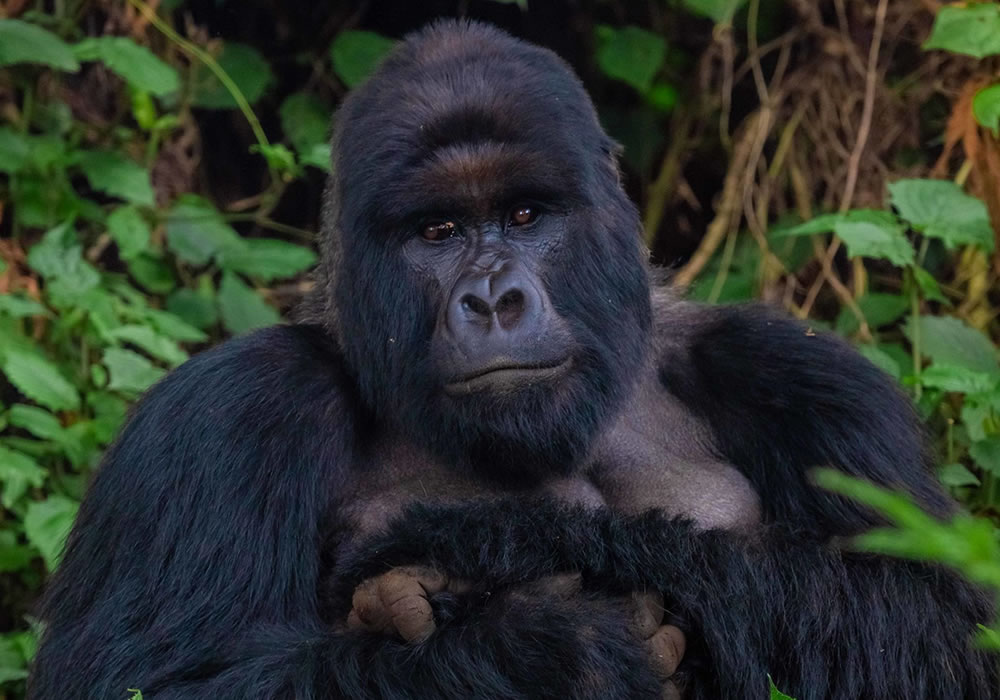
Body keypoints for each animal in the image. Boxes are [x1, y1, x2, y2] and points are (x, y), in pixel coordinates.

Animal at [27, 17, 996, 700]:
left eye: (526, 215)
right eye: (438, 231)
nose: (494, 299)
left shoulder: (804, 379)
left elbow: (934, 632)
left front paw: (517, 546)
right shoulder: (228, 412)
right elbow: (150, 678)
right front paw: (541, 648)